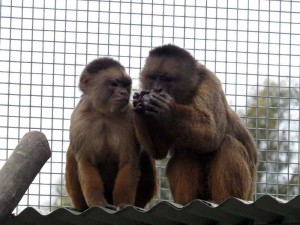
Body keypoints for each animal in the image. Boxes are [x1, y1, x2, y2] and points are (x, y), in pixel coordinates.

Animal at [65, 57, 157, 211]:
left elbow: (128, 162)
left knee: (144, 155)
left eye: (126, 85)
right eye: (114, 84)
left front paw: (122, 203)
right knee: (72, 154)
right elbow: (86, 163)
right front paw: (97, 202)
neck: (104, 114)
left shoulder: (129, 118)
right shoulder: (79, 121)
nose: (124, 93)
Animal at [132, 44, 256, 205]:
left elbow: (212, 134)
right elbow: (159, 151)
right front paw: (140, 106)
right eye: (153, 77)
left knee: (227, 143)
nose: (157, 88)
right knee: (185, 151)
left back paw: (224, 199)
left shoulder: (209, 82)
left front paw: (169, 110)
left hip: (246, 192)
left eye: (167, 79)